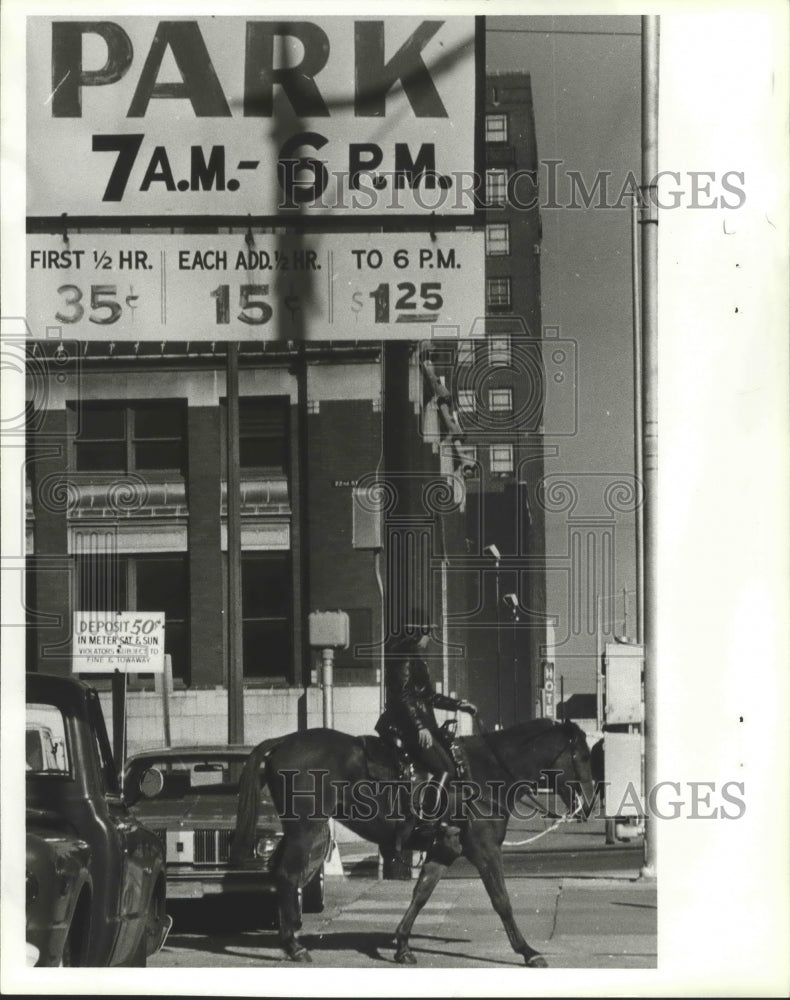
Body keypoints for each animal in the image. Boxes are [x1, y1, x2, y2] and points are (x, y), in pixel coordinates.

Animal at [232, 716, 596, 964]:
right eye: (581, 756)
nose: (591, 804)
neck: (486, 772)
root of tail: (282, 741)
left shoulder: (444, 850)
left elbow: (421, 894)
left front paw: (403, 944)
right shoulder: (485, 850)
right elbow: (501, 900)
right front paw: (527, 951)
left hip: (298, 831)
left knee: (280, 874)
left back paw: (289, 934)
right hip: (306, 830)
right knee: (286, 875)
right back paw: (293, 945)